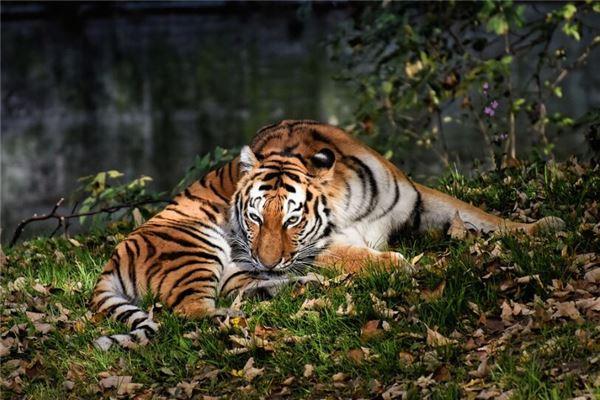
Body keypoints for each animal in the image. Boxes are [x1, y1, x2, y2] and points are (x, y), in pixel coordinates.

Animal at [89, 119, 564, 350]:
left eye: (291, 220)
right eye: (255, 218)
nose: (265, 260)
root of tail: (111, 259)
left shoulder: (419, 202)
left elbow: (479, 214)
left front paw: (541, 226)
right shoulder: (322, 246)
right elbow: (356, 255)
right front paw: (396, 265)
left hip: (234, 270)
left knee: (241, 291)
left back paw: (296, 290)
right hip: (196, 244)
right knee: (190, 312)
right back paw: (240, 317)